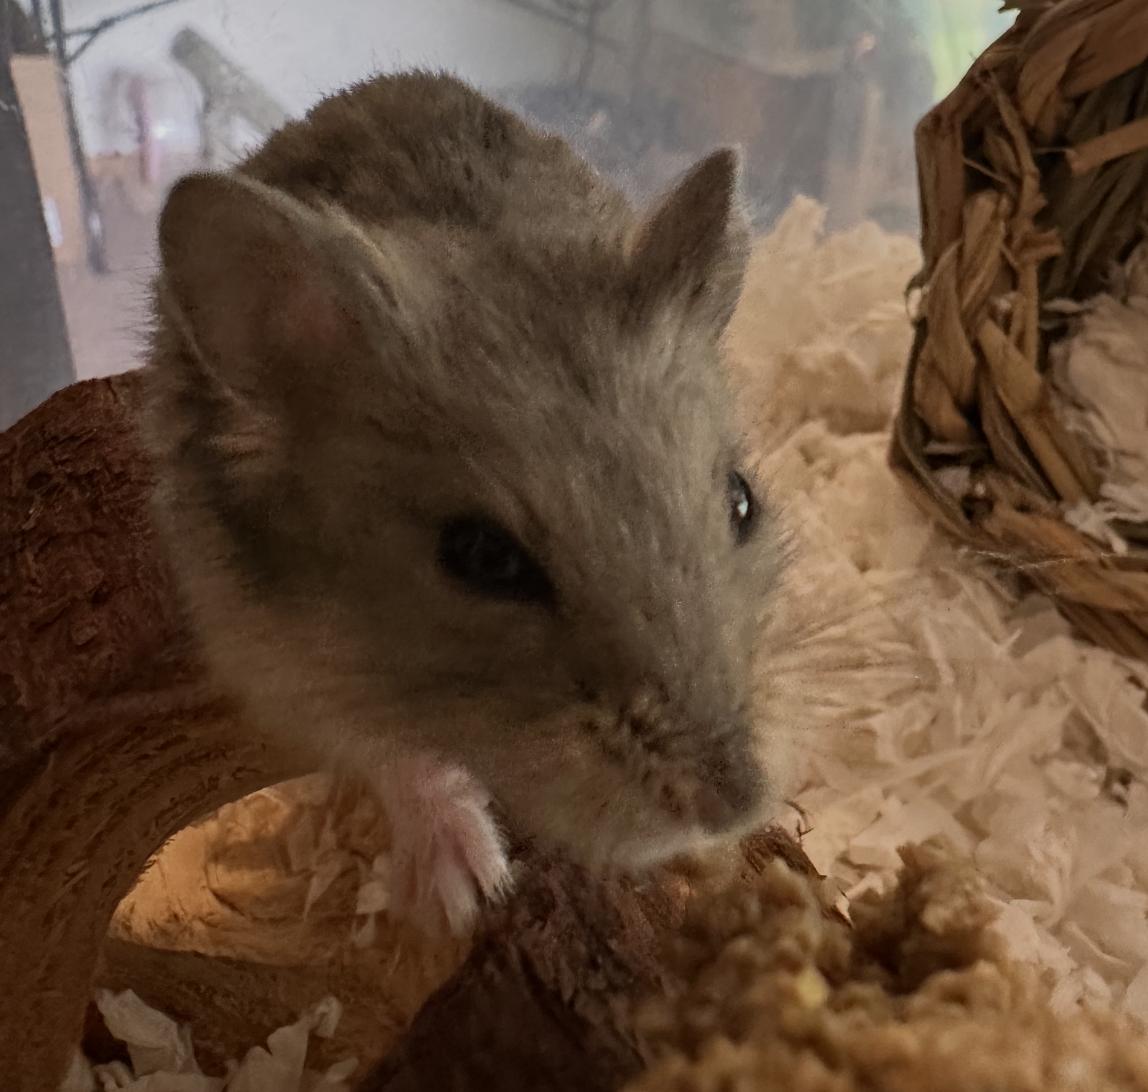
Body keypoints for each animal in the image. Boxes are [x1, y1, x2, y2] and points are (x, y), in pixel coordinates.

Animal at [141, 69, 786, 934]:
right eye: (481, 557)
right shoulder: (278, 666)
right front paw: (466, 892)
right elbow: (402, 753)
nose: (734, 806)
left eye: (742, 501)